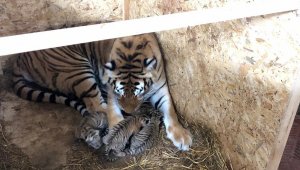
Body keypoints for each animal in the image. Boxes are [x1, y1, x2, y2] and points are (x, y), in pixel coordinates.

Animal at [11, 32, 192, 150]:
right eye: (119, 92)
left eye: (139, 93)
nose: (129, 112)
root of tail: (20, 59)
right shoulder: (111, 91)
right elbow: (113, 112)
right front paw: (118, 131)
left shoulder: (161, 88)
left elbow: (171, 111)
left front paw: (182, 136)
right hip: (77, 69)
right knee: (95, 106)